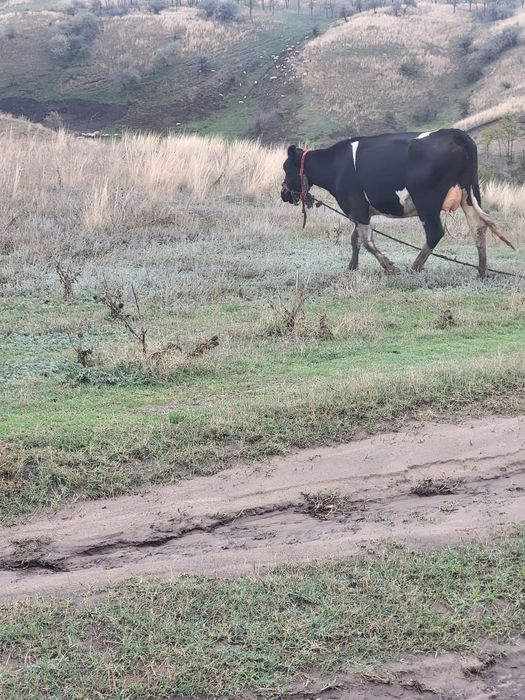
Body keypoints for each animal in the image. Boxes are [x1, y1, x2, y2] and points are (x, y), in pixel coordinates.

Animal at [281, 129, 515, 278]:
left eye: (285, 168)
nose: (283, 193)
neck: (336, 165)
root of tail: (457, 134)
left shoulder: (357, 206)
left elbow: (366, 241)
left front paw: (390, 267)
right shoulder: (360, 211)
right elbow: (355, 239)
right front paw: (352, 267)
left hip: (427, 201)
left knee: (435, 232)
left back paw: (414, 267)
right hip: (470, 195)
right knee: (478, 227)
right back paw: (482, 271)